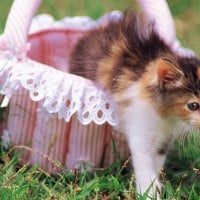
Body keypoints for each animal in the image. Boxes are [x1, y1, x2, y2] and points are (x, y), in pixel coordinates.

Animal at [69, 11, 200, 198]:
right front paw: (148, 192)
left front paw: (155, 186)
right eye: (193, 106)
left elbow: (156, 160)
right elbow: (144, 161)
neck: (167, 117)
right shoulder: (141, 124)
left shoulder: (165, 138)